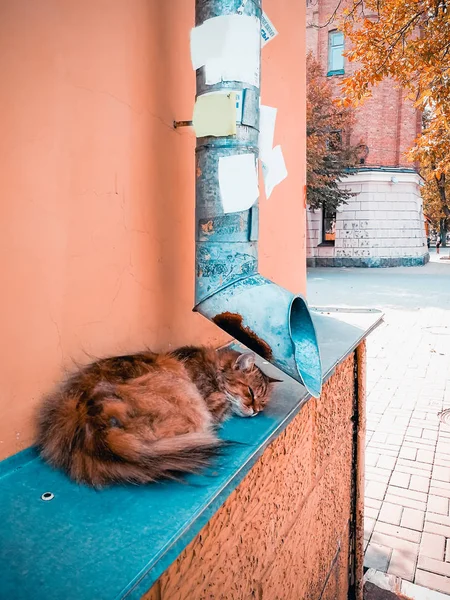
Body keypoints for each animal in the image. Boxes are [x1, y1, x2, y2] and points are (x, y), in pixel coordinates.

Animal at [37, 346, 278, 488]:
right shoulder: (211, 402)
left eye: (262, 403)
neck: (213, 369)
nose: (255, 411)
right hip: (186, 399)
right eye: (250, 393)